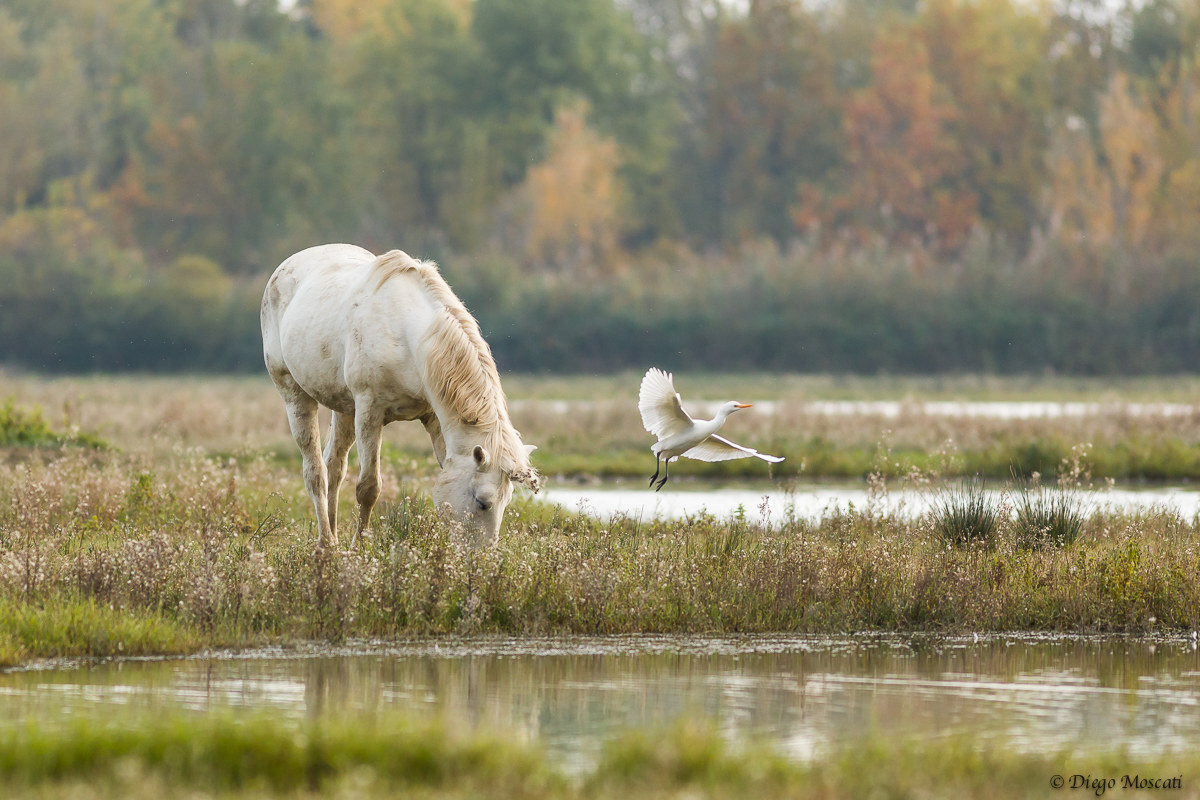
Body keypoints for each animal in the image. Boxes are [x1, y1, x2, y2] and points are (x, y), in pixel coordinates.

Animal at [260, 243, 541, 549]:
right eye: (482, 502)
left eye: (506, 501)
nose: (481, 558)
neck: (408, 336)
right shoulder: (369, 412)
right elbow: (368, 488)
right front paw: (359, 549)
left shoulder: (433, 418)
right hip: (295, 396)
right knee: (315, 474)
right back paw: (327, 545)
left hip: (344, 408)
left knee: (334, 466)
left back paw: (332, 536)